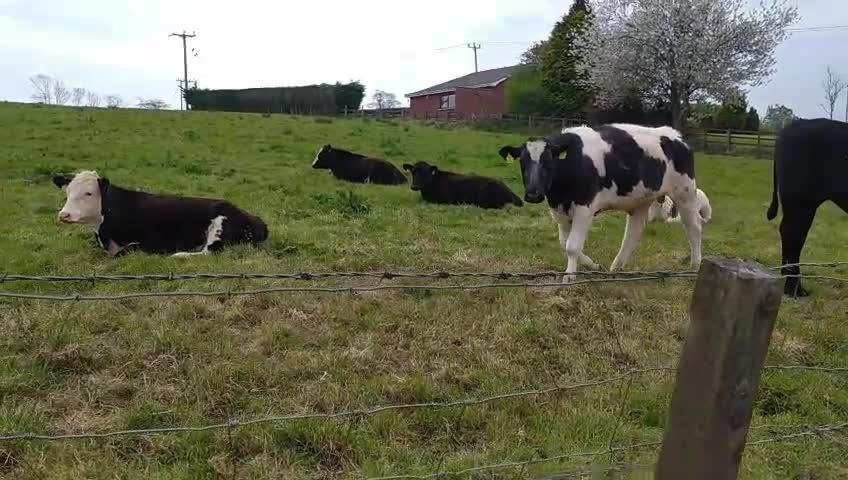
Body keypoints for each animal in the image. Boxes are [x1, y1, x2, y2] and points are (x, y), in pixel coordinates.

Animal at [52, 170, 268, 257]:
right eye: (67, 191)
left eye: (89, 193)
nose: (64, 215)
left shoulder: (154, 243)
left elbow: (129, 249)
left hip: (218, 227)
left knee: (209, 252)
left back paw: (179, 255)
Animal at [499, 124, 702, 281]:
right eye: (523, 162)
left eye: (549, 161)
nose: (533, 194)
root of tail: (675, 135)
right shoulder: (559, 209)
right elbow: (564, 242)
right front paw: (594, 266)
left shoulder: (584, 207)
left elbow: (572, 246)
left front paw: (569, 277)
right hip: (641, 200)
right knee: (633, 232)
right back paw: (616, 268)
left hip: (684, 192)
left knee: (694, 228)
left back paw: (695, 265)